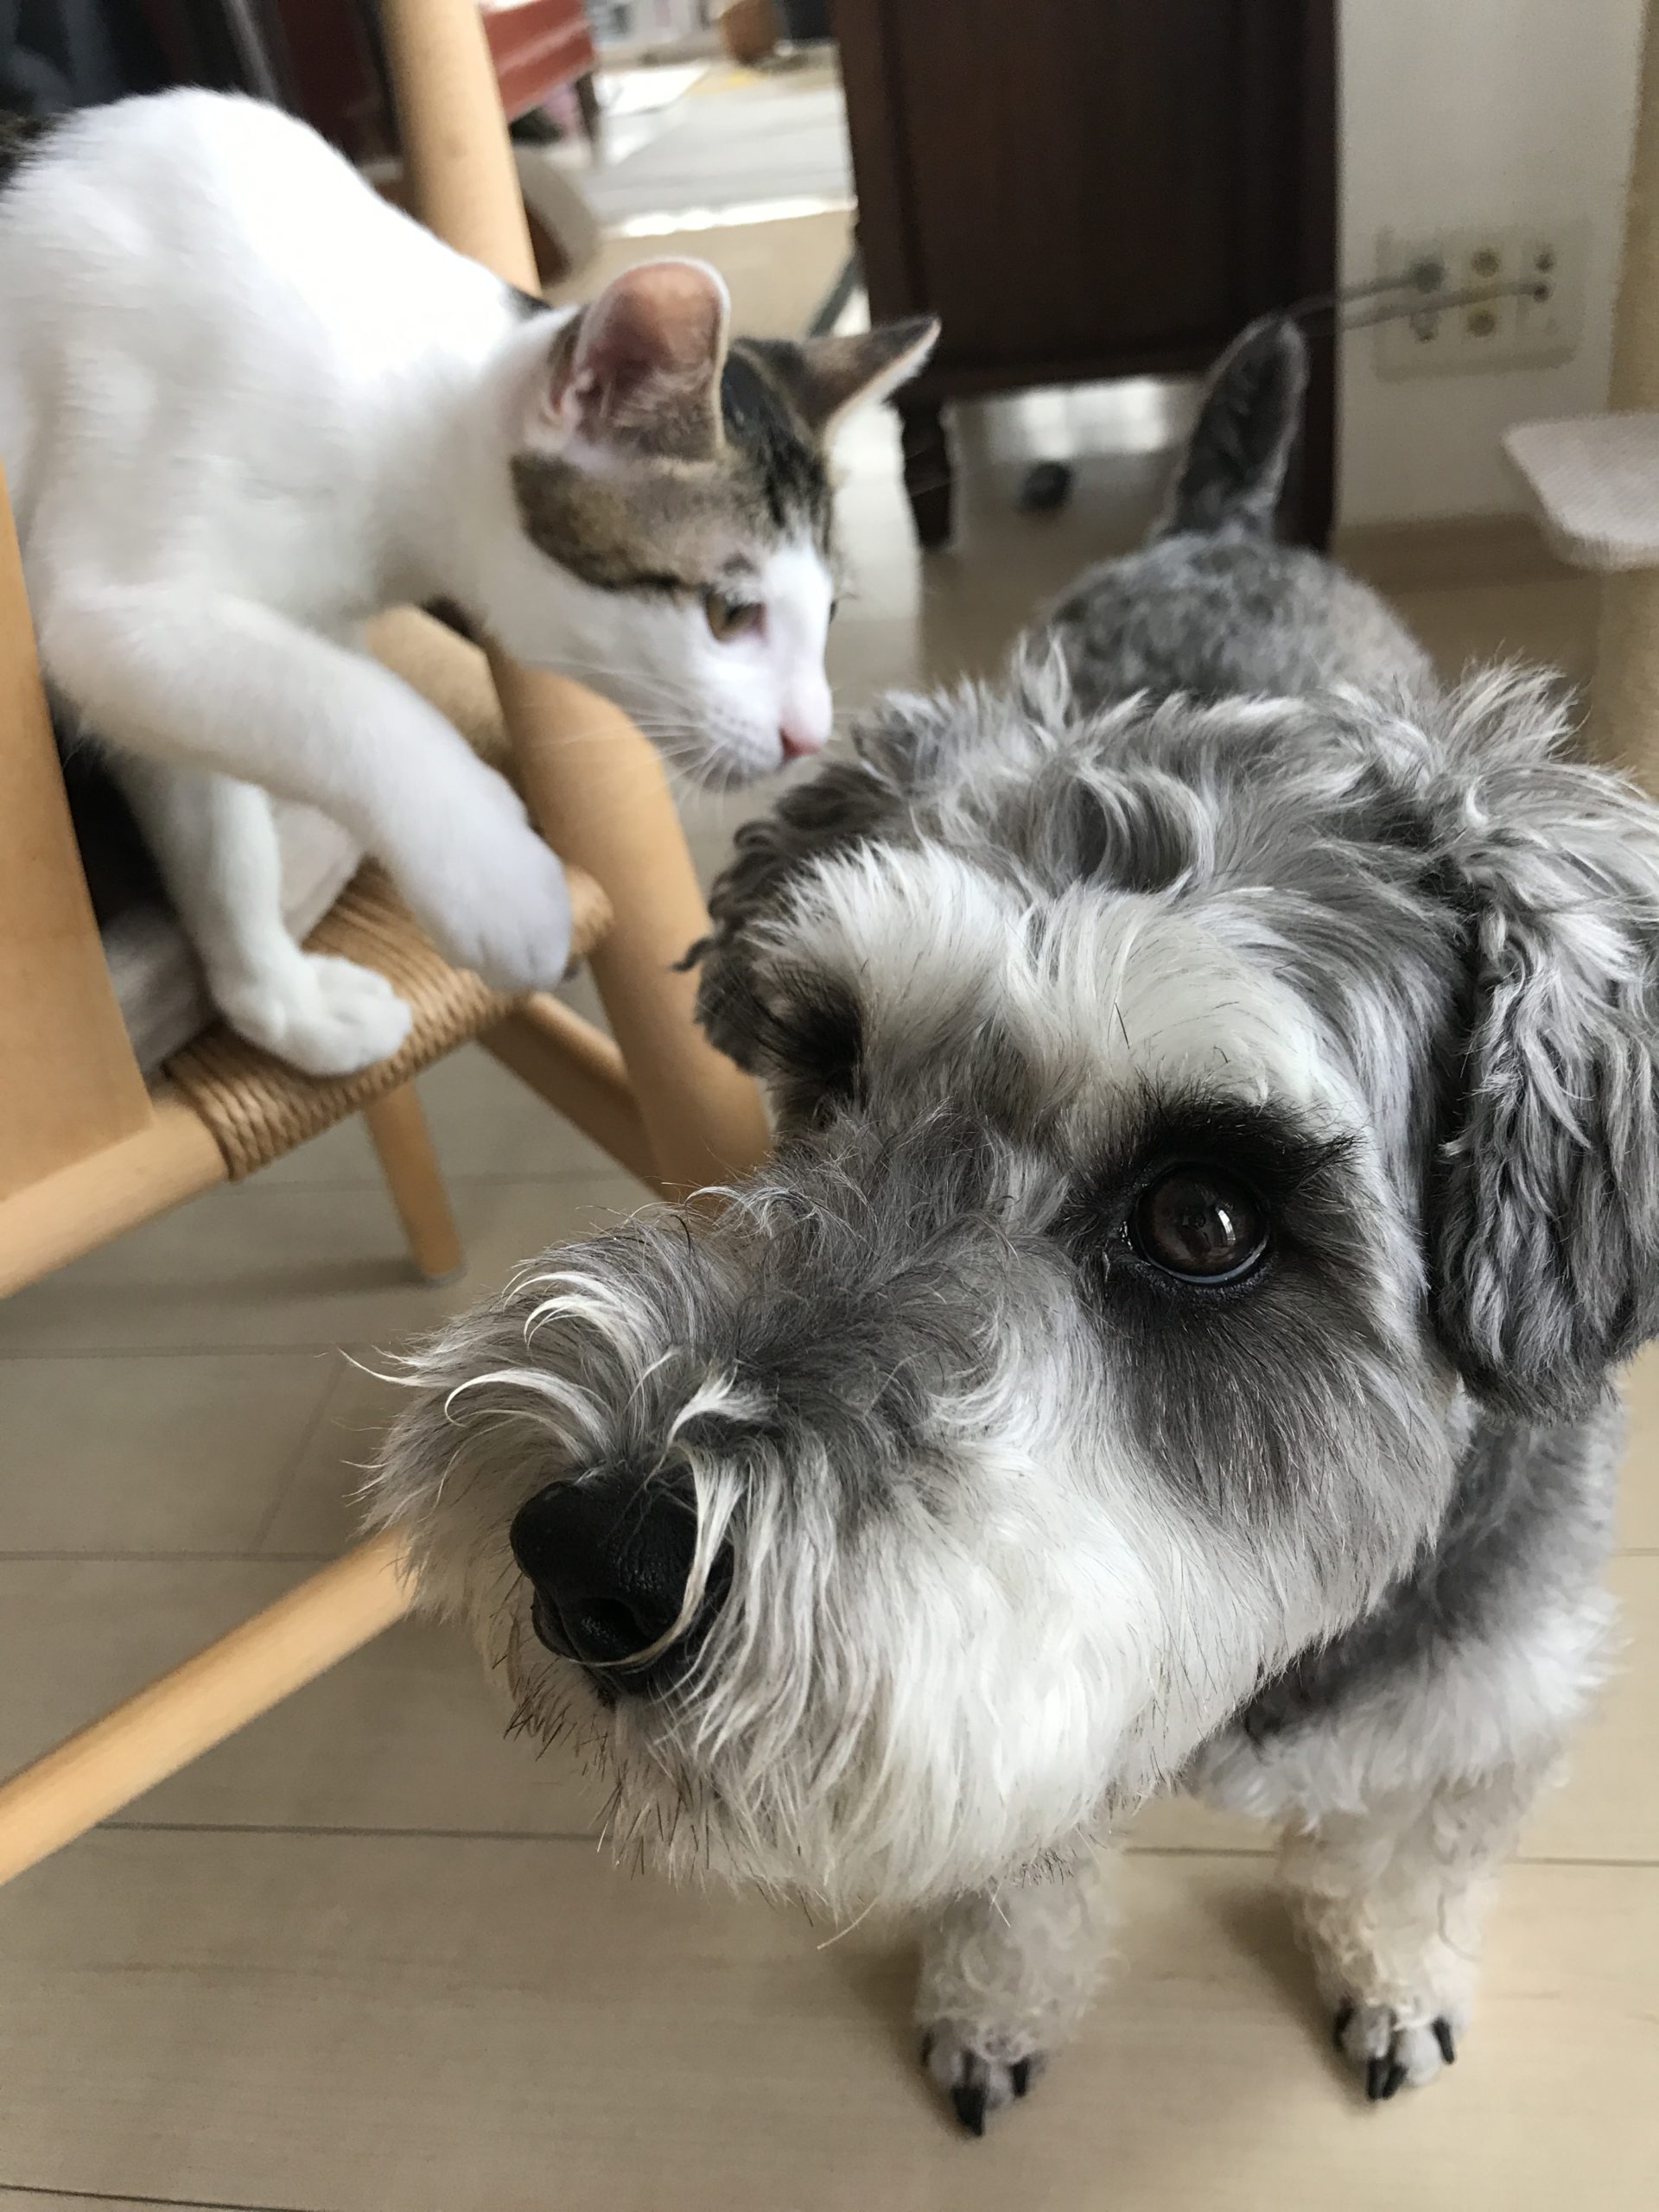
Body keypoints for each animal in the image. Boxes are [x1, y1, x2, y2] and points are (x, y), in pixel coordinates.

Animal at [0, 92, 934, 1074]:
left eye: (827, 612)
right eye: (729, 611)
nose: (807, 735)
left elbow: (218, 832)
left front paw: (280, 1002)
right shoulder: (110, 598)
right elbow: (346, 701)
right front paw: (500, 884)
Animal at [370, 320, 1646, 2136]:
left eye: (1205, 1215)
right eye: (826, 1060)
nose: (586, 1552)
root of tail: (1218, 525)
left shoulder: (1486, 1709)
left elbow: (1408, 1861)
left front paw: (1393, 1979)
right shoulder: (1021, 1708)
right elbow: (1010, 1880)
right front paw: (993, 2008)